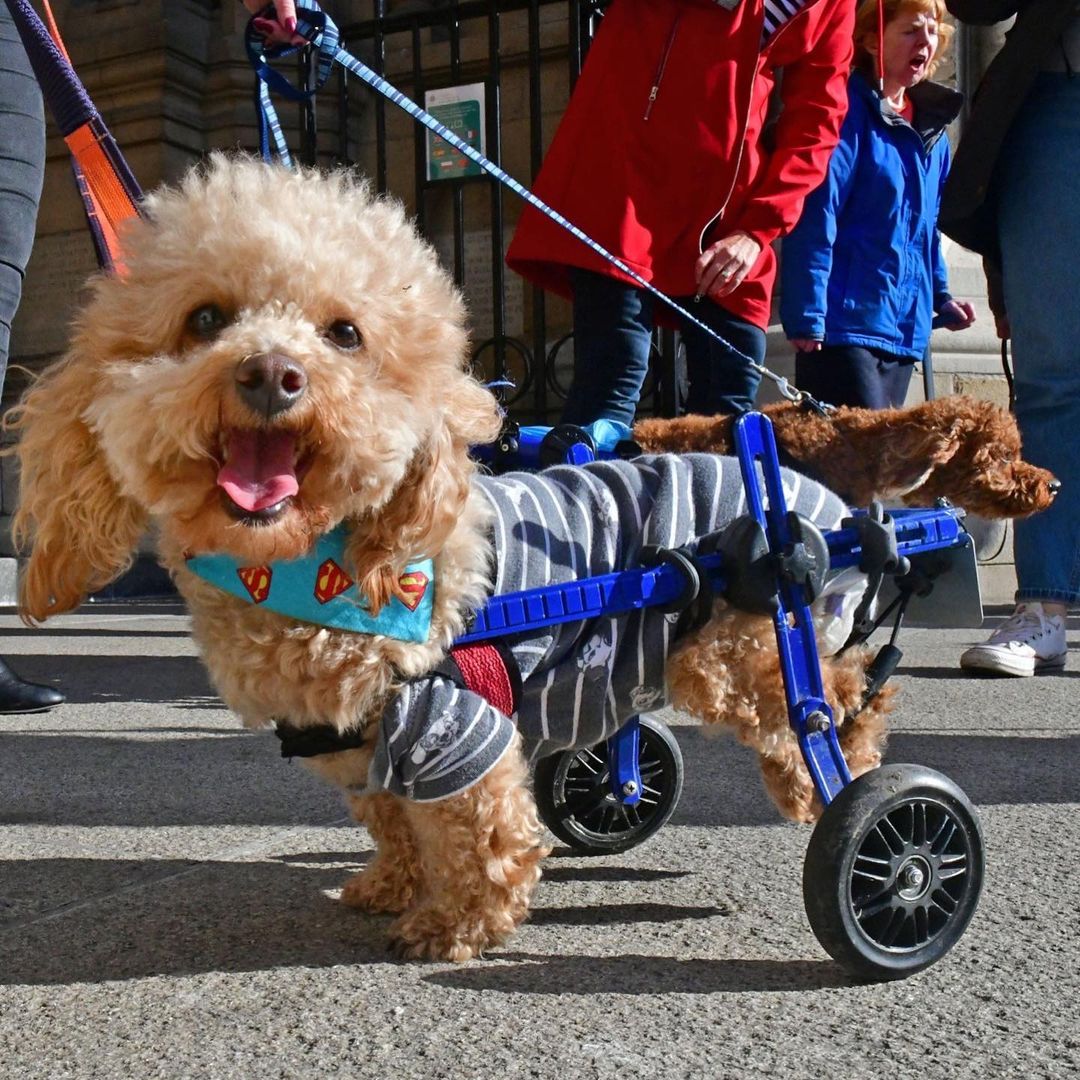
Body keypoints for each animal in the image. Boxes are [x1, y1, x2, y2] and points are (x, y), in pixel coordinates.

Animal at [6, 152, 885, 963]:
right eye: (204, 319)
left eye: (345, 334)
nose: (272, 373)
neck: (306, 567)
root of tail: (818, 503)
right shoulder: (357, 741)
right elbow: (393, 819)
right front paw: (392, 885)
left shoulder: (454, 725)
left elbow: (476, 832)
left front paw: (456, 925)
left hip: (742, 644)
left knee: (833, 700)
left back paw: (844, 782)